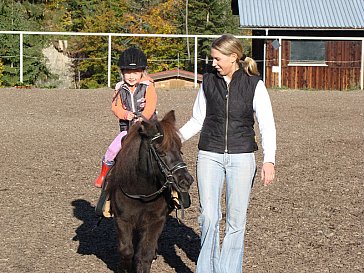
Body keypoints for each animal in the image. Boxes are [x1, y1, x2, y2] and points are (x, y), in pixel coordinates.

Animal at [107, 109, 195, 270]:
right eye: (160, 151)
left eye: (180, 149)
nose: (186, 180)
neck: (141, 193)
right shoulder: (122, 219)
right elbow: (126, 251)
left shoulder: (156, 220)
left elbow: (144, 255)